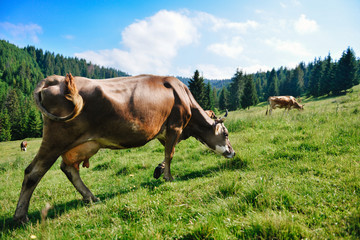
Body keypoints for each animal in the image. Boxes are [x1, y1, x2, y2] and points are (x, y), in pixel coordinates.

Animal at [14, 72, 235, 223]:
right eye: (225, 134)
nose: (232, 152)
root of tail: (56, 79)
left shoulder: (165, 132)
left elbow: (166, 153)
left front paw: (159, 170)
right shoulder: (175, 126)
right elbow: (170, 153)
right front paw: (169, 177)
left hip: (83, 144)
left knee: (69, 168)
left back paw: (90, 196)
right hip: (56, 138)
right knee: (33, 172)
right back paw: (20, 216)